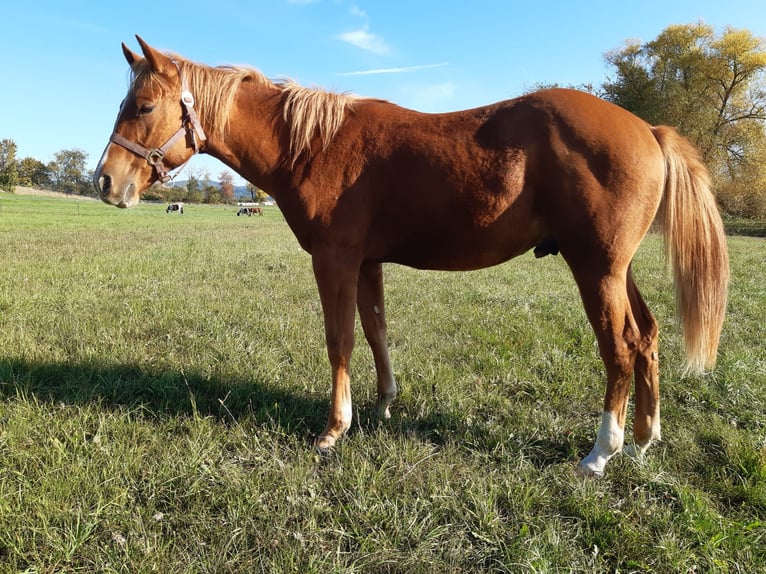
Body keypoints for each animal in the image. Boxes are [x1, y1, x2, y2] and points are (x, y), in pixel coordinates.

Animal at [94, 37, 729, 476]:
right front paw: (382, 407)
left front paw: (334, 430)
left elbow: (340, 339)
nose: (105, 181)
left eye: (143, 107)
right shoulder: (368, 263)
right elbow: (375, 330)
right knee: (647, 338)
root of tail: (648, 129)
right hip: (618, 269)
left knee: (619, 348)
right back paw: (644, 439)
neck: (314, 144)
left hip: (595, 269)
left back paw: (601, 452)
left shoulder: (335, 259)